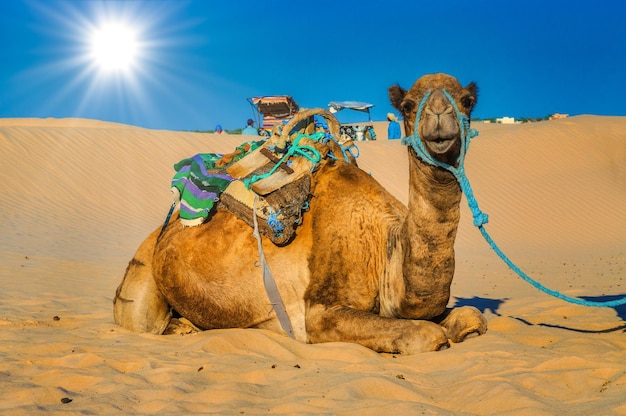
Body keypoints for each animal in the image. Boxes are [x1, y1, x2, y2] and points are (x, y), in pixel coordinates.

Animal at [113, 73, 488, 352]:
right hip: (142, 272)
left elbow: (472, 317)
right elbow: (426, 334)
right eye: (409, 104)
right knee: (142, 320)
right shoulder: (317, 315)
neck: (384, 248)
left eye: (467, 102)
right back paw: (182, 329)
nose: (439, 118)